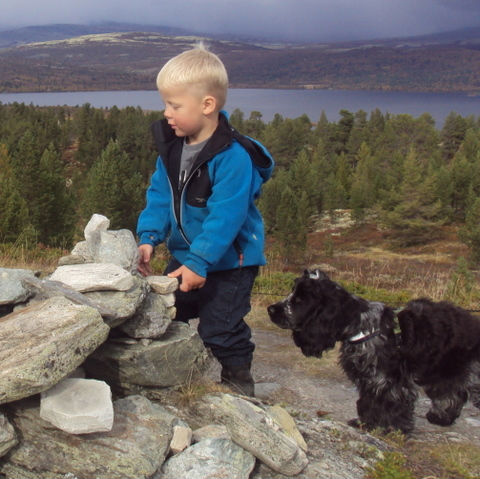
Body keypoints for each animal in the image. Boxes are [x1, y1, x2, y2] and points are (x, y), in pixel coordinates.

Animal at [266, 270, 480, 436]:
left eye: (299, 300)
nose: (270, 309)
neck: (360, 325)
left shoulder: (390, 379)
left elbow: (392, 404)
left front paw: (391, 430)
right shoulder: (369, 378)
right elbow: (369, 402)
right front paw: (366, 424)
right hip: (443, 370)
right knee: (451, 392)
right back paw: (440, 417)